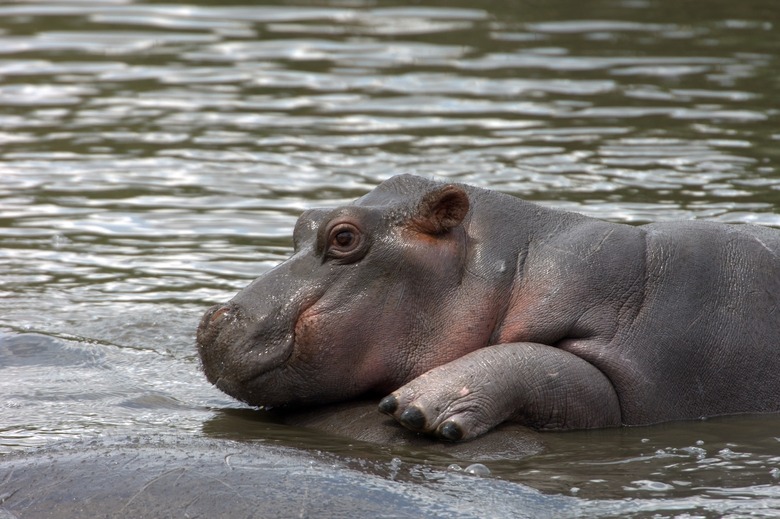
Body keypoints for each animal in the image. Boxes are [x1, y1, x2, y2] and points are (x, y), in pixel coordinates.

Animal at [197, 174, 780, 441]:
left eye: (343, 237)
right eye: (303, 221)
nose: (216, 321)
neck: (522, 265)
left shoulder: (643, 373)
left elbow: (551, 367)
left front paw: (417, 408)